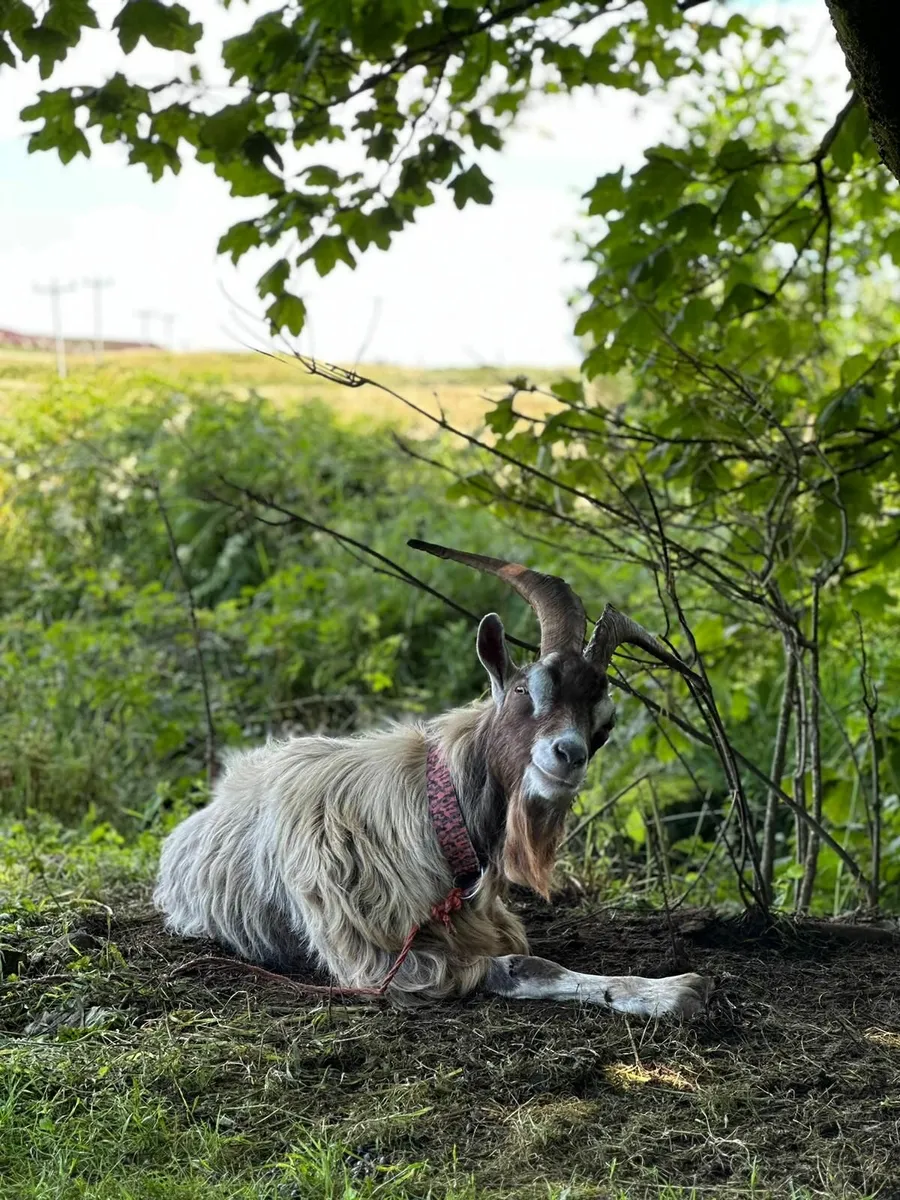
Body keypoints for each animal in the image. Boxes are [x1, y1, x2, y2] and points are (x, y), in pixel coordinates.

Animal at [154, 541, 711, 1017]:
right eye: (526, 689)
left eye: (605, 726)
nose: (569, 755)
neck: (435, 818)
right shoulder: (386, 961)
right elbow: (524, 965)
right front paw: (672, 991)